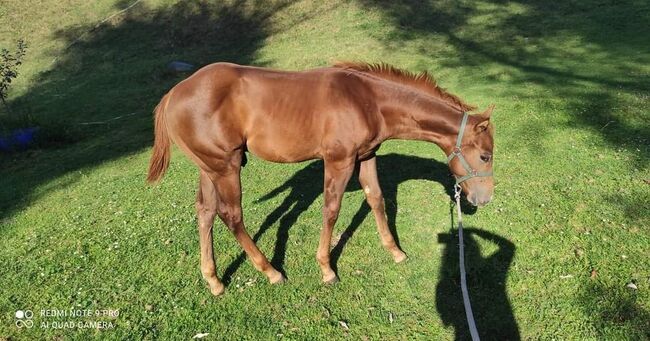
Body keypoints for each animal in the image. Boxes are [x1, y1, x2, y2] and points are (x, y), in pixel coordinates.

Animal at [146, 61, 492, 294]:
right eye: (486, 156)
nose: (484, 198)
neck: (366, 100)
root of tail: (172, 95)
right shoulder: (339, 161)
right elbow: (331, 210)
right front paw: (326, 269)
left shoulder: (366, 156)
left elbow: (376, 198)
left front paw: (395, 251)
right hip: (226, 166)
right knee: (230, 215)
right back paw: (271, 271)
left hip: (209, 168)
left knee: (205, 212)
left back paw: (214, 280)